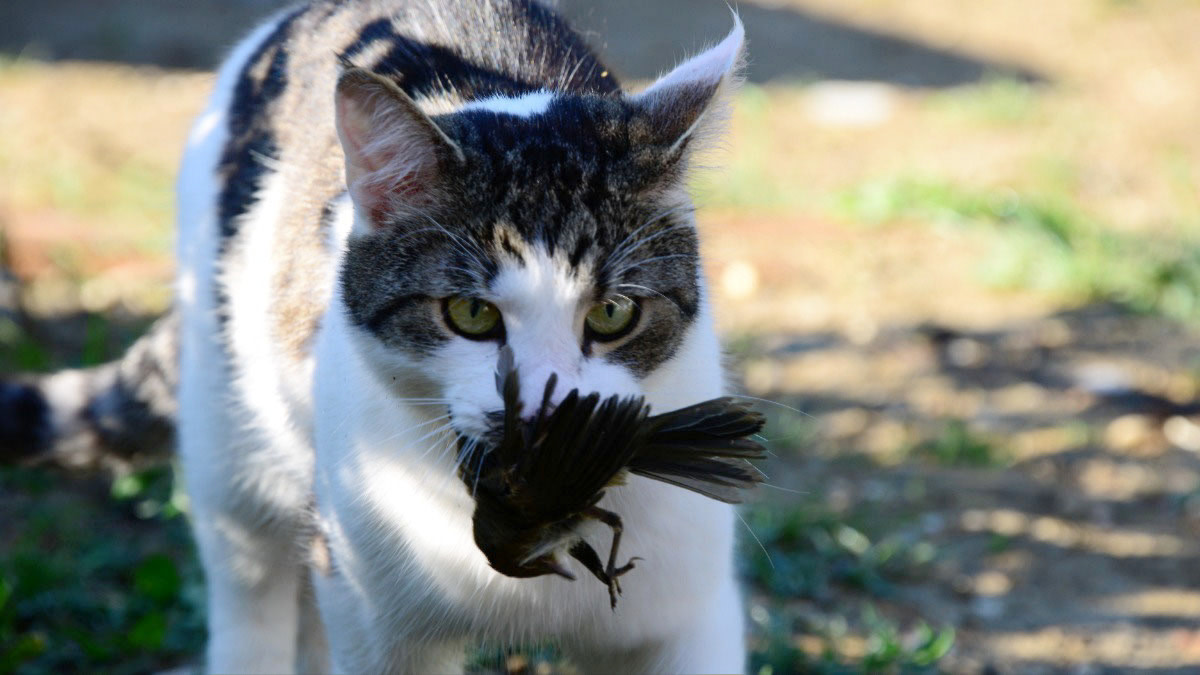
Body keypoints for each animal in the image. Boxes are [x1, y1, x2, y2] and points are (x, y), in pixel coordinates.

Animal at [2, 0, 748, 667]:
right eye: (471, 314)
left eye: (613, 314)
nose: (544, 418)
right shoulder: (371, 612)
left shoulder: (686, 619)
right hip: (230, 449)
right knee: (250, 589)